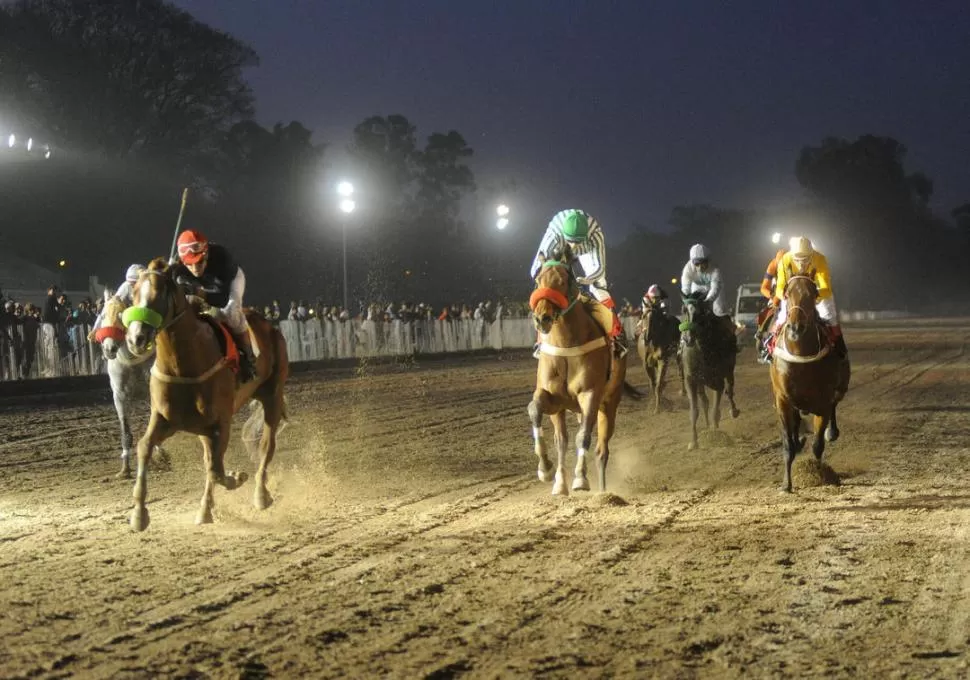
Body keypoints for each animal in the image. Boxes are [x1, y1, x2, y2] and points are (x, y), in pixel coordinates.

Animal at [88, 292, 167, 478]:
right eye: (103, 315)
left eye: (120, 316)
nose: (109, 348)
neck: (133, 361)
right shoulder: (120, 396)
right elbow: (126, 431)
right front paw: (125, 468)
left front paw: (160, 455)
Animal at [123, 258, 288, 528]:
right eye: (135, 294)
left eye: (159, 293)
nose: (136, 337)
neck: (183, 363)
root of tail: (269, 326)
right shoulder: (166, 418)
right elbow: (145, 446)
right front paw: (138, 514)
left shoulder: (221, 421)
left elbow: (217, 470)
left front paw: (237, 477)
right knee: (211, 459)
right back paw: (205, 510)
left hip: (272, 395)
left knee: (266, 445)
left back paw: (260, 495)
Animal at [524, 252, 640, 496]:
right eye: (538, 281)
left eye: (563, 281)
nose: (542, 318)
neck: (566, 346)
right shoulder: (553, 398)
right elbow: (537, 412)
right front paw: (547, 471)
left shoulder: (590, 395)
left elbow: (583, 436)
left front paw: (580, 479)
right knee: (564, 439)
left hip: (609, 403)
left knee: (601, 450)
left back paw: (603, 491)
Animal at [676, 292, 736, 452]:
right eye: (684, 310)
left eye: (700, 312)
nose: (688, 338)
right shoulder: (691, 380)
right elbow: (694, 411)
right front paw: (693, 442)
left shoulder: (717, 379)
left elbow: (716, 408)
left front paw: (715, 434)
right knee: (705, 401)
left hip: (729, 369)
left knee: (730, 388)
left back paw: (733, 411)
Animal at [768, 274, 852, 492]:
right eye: (787, 294)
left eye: (812, 294)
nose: (796, 327)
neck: (801, 357)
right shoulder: (783, 400)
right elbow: (788, 444)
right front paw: (786, 484)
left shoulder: (822, 402)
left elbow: (817, 445)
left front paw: (818, 475)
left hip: (839, 389)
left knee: (834, 405)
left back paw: (831, 432)